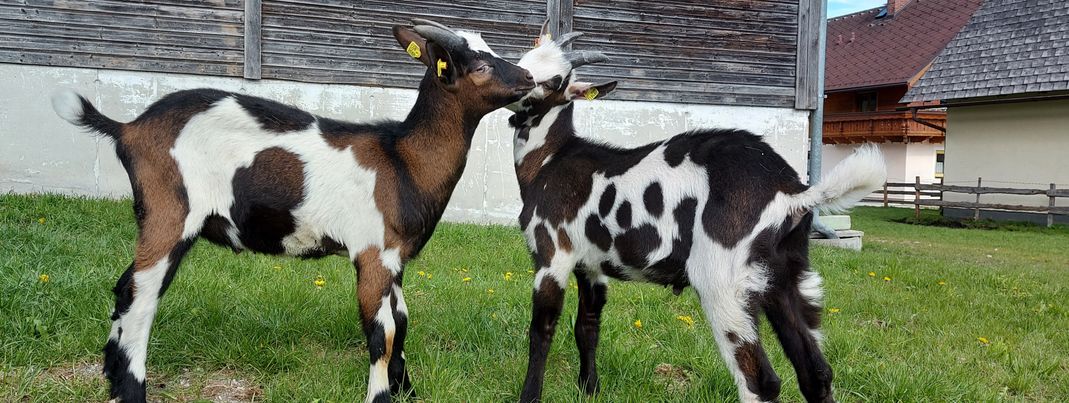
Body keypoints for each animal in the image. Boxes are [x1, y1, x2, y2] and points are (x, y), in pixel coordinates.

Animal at [50, 19, 534, 403]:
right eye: (481, 66)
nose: (529, 75)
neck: (403, 160)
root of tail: (128, 129)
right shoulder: (373, 254)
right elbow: (381, 334)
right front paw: (381, 397)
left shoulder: (395, 258)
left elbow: (402, 323)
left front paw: (408, 392)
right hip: (171, 213)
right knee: (142, 298)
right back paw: (133, 389)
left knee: (124, 289)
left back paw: (112, 377)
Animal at [507, 32, 885, 403]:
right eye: (524, 58)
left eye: (556, 79)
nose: (518, 81)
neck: (551, 159)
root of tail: (791, 191)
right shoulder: (591, 264)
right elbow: (587, 325)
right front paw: (590, 390)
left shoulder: (552, 253)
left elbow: (541, 330)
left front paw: (530, 396)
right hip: (787, 278)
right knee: (816, 373)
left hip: (723, 283)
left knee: (760, 382)